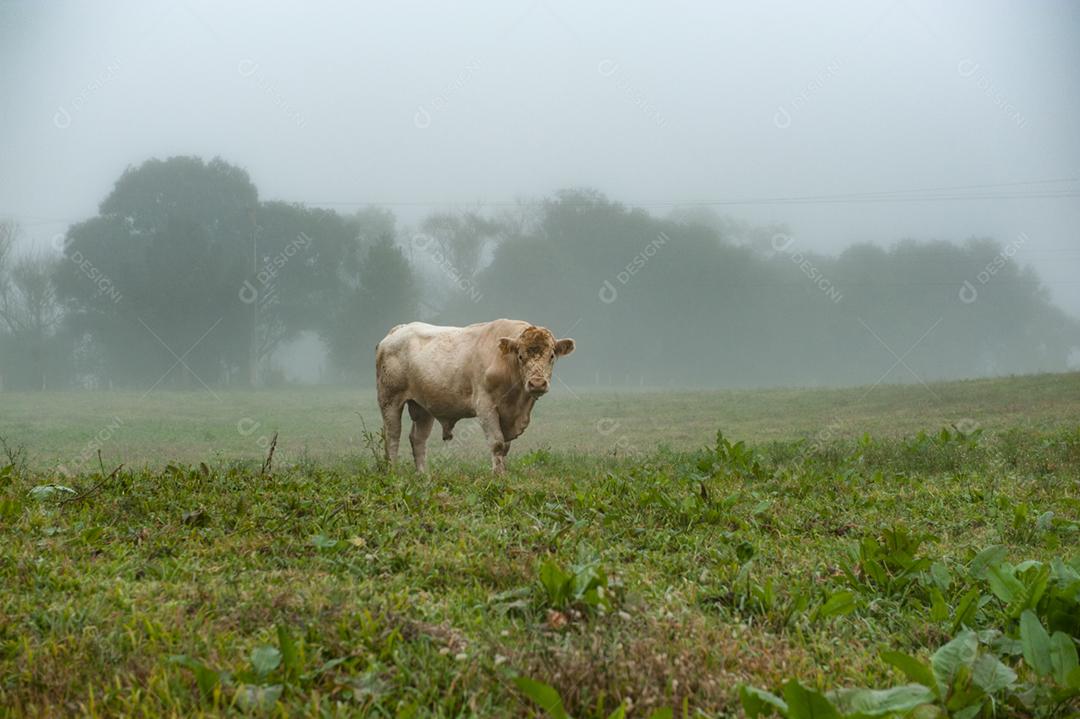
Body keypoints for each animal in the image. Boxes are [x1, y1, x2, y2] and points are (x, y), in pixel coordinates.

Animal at [375, 319, 576, 473]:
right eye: (520, 356)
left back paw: (423, 475)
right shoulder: (485, 406)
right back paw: (393, 472)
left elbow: (505, 447)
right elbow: (497, 444)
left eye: (551, 356)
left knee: (418, 439)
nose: (537, 383)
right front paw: (499, 476)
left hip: (424, 406)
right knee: (392, 436)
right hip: (389, 399)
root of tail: (399, 329)